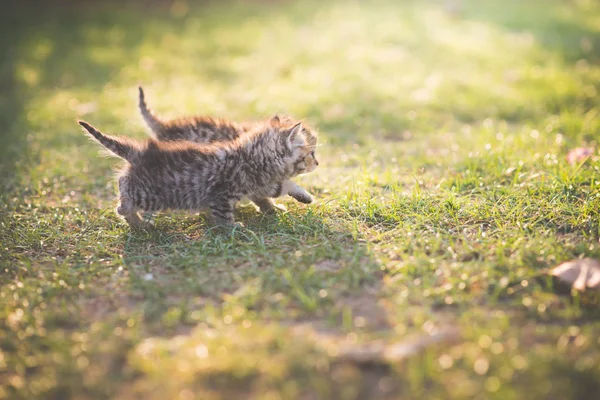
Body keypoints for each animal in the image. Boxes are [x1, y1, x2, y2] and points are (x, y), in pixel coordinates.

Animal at [78, 117, 318, 227]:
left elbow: (283, 186)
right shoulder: (223, 192)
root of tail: (140, 152)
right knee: (122, 201)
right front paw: (233, 228)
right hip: (150, 195)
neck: (252, 156)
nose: (317, 163)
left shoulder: (261, 183)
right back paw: (138, 223)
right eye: (310, 153)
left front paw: (304, 196)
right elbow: (224, 214)